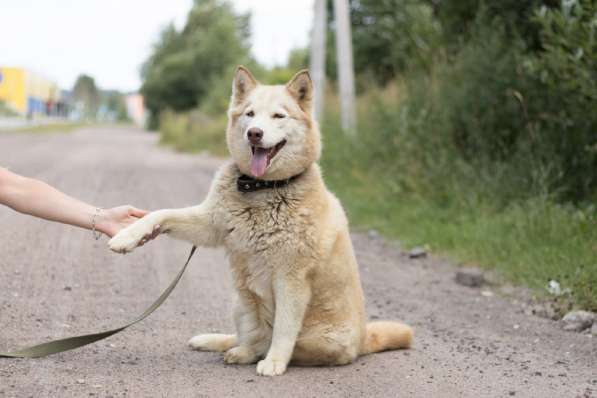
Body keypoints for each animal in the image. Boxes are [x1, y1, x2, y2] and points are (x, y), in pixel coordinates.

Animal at [108, 66, 410, 376]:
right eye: (250, 114)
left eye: (278, 116)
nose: (254, 133)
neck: (260, 187)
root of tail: (364, 339)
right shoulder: (209, 223)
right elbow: (160, 213)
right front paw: (127, 236)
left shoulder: (291, 279)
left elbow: (284, 329)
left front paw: (275, 362)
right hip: (240, 301)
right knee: (249, 338)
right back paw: (230, 347)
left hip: (322, 339)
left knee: (279, 342)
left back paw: (261, 354)